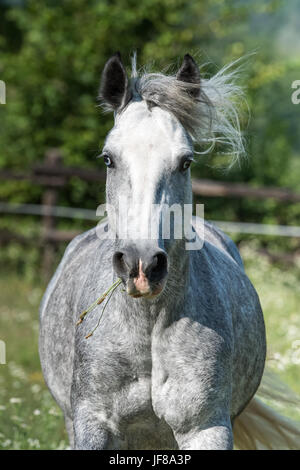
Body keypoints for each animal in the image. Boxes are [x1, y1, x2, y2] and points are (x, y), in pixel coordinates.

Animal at [39, 53, 300, 450]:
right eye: (108, 159)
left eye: (185, 162)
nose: (141, 265)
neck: (147, 325)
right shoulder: (93, 425)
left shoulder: (206, 429)